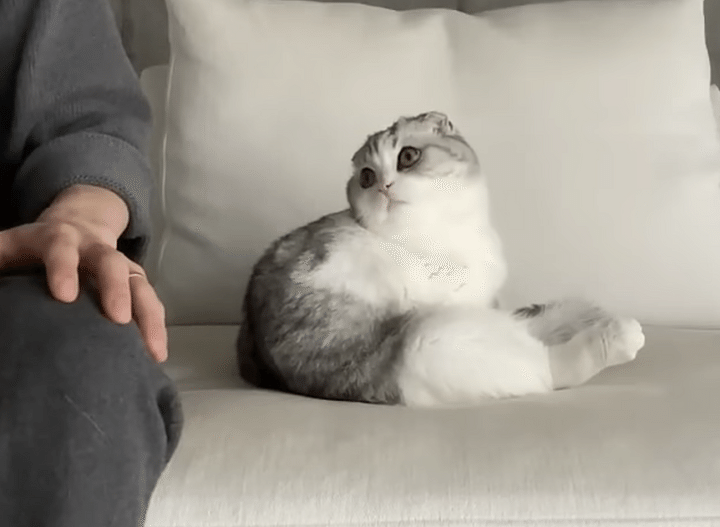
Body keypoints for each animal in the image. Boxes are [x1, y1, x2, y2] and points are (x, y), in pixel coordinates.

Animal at [237, 111, 645, 408]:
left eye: (408, 156)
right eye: (367, 177)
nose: (383, 186)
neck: (451, 233)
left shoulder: (486, 300)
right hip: (430, 339)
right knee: (549, 367)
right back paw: (615, 335)